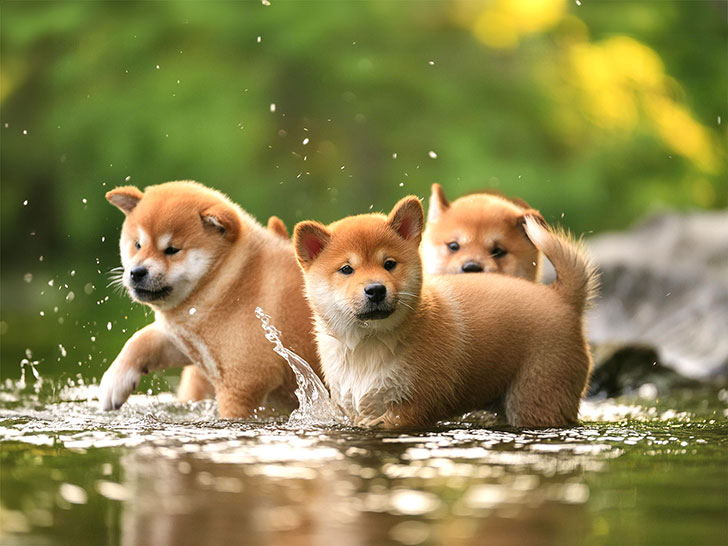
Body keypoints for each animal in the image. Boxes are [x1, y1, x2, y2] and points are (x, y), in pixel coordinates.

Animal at [98, 181, 320, 414]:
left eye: (172, 250)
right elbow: (140, 340)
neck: (229, 281)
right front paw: (114, 383)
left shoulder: (243, 383)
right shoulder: (183, 342)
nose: (137, 272)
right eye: (137, 245)